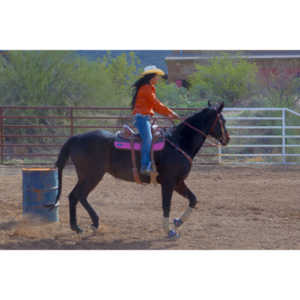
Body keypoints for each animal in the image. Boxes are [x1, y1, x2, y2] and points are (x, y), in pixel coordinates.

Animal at [48, 102, 230, 239]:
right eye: (223, 120)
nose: (227, 139)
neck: (178, 143)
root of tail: (75, 138)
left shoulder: (178, 182)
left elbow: (193, 199)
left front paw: (178, 222)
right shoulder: (169, 182)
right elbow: (166, 205)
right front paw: (169, 231)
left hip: (89, 176)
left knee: (79, 196)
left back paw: (92, 223)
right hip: (91, 175)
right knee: (76, 195)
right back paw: (78, 227)